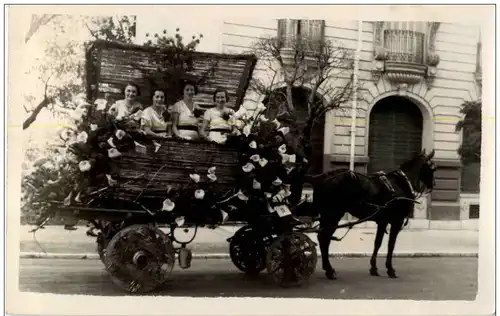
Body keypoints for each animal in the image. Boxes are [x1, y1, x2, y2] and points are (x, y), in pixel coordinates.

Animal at [296, 149, 434, 280]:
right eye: (433, 167)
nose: (433, 186)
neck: (401, 184)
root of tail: (321, 178)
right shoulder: (397, 222)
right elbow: (391, 245)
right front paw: (390, 269)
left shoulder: (382, 222)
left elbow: (377, 243)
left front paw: (373, 268)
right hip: (332, 215)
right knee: (324, 238)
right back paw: (329, 270)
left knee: (323, 238)